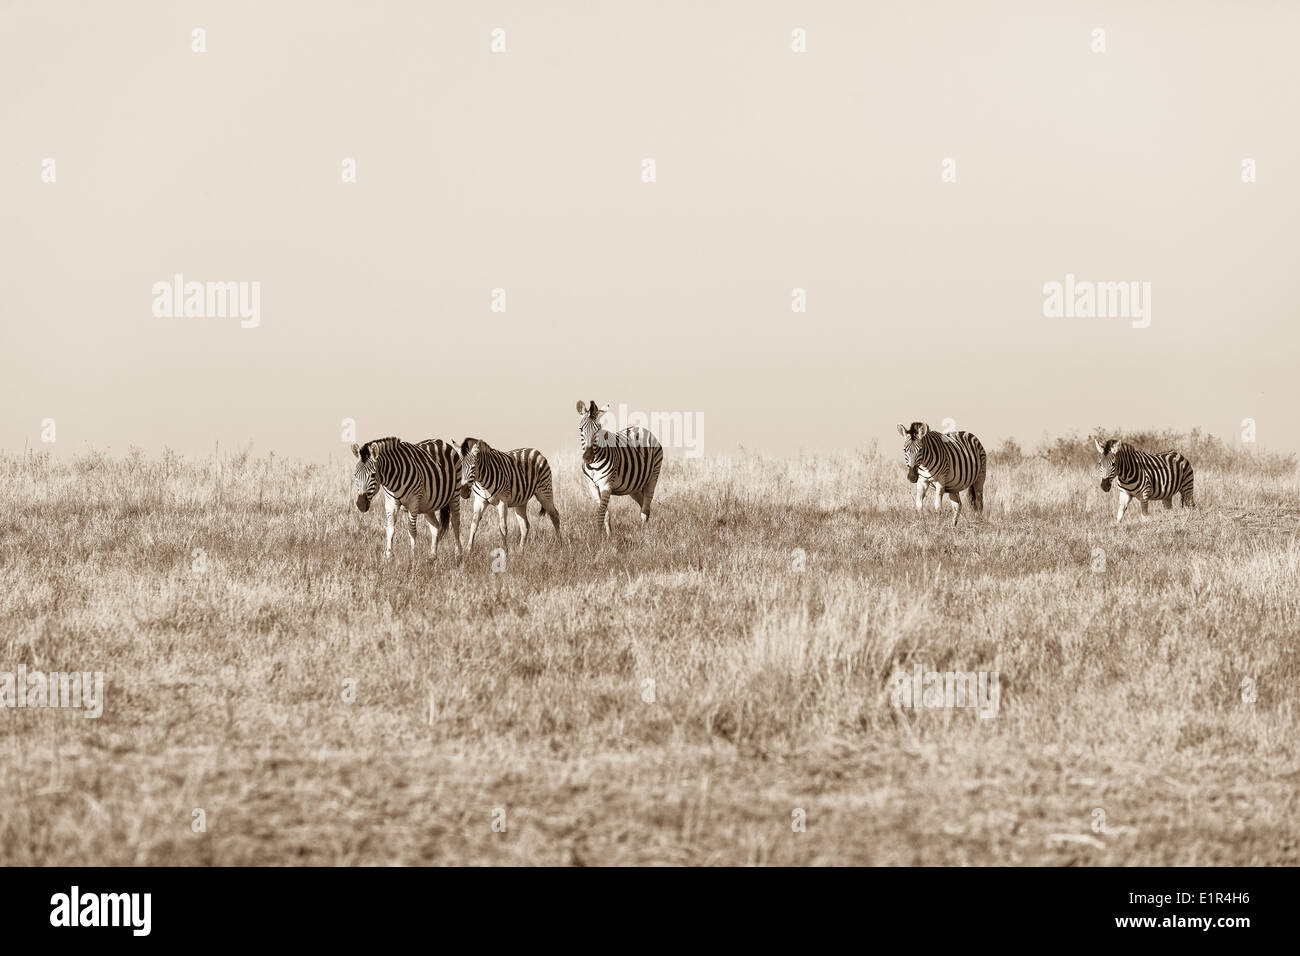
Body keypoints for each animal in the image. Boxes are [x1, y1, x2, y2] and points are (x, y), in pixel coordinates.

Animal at [577, 403, 660, 538]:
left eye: (598, 429)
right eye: (580, 429)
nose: (588, 458)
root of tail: (641, 428)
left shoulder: (606, 485)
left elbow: (600, 513)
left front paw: (598, 538)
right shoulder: (592, 487)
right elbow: (605, 513)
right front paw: (609, 536)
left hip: (653, 476)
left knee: (646, 506)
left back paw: (645, 533)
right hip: (633, 486)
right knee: (643, 505)